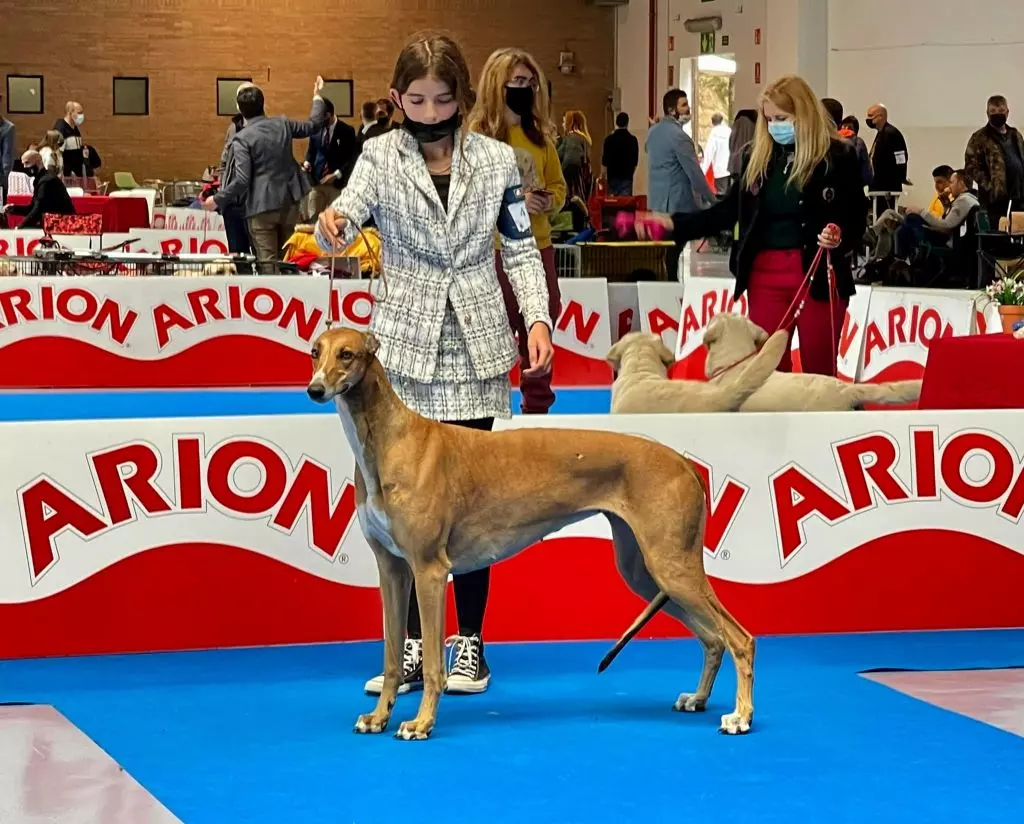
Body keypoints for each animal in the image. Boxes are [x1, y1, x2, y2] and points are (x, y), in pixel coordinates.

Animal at [303, 327, 761, 741]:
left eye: (347, 354)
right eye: (314, 352)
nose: (314, 389)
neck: (390, 441)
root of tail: (683, 462)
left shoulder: (429, 570)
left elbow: (432, 665)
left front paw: (421, 723)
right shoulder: (393, 571)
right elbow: (393, 657)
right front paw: (378, 717)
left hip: (671, 567)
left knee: (739, 638)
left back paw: (741, 716)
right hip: (645, 571)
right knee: (712, 638)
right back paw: (698, 699)